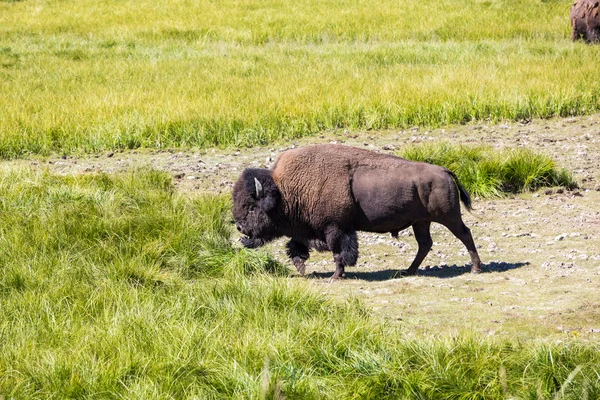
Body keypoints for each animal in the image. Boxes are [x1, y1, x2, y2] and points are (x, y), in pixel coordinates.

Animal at [231, 143, 482, 278]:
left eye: (252, 207)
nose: (240, 228)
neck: (286, 190)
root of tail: (444, 171)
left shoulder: (336, 229)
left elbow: (339, 253)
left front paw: (336, 276)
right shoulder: (307, 231)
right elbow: (296, 248)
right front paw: (302, 269)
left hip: (448, 217)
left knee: (465, 234)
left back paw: (475, 269)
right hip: (421, 222)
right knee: (425, 244)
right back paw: (408, 271)